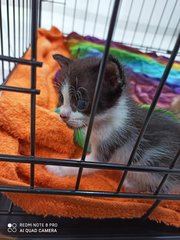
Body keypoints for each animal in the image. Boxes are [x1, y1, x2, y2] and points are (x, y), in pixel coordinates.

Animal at [46, 54, 180, 193]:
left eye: (82, 103)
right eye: (61, 98)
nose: (63, 115)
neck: (105, 120)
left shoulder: (109, 145)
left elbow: (82, 165)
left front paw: (57, 168)